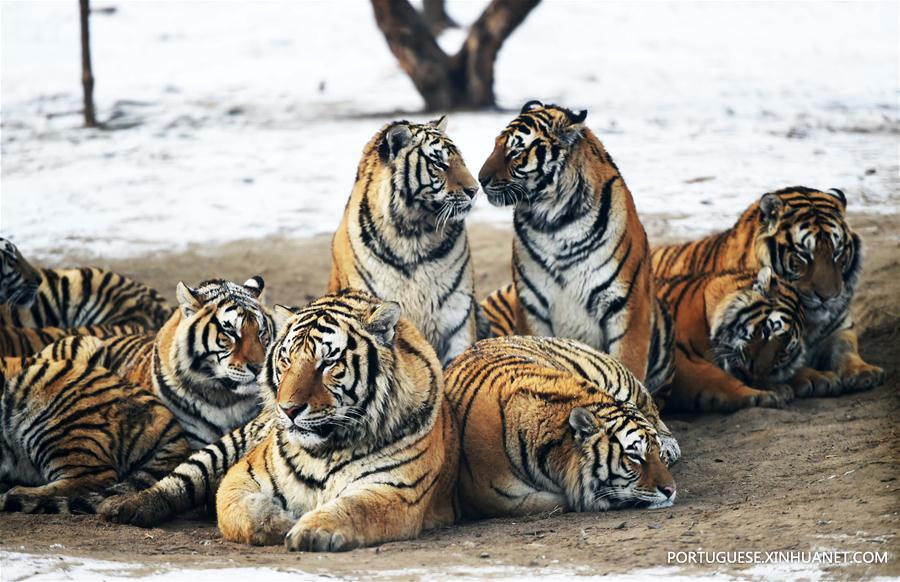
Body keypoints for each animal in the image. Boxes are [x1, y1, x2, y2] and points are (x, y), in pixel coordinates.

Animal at [477, 101, 675, 397]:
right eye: (495, 146)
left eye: (516, 151)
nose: (480, 179)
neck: (554, 223)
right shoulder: (532, 306)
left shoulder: (628, 306)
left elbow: (629, 366)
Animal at [651, 186, 884, 395]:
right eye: (803, 255)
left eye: (838, 253)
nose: (828, 297)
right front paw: (816, 378)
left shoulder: (839, 327)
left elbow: (845, 348)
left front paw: (864, 371)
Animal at [656, 267, 811, 412]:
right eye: (767, 331)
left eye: (782, 353)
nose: (753, 372)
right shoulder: (677, 358)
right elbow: (716, 377)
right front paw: (765, 395)